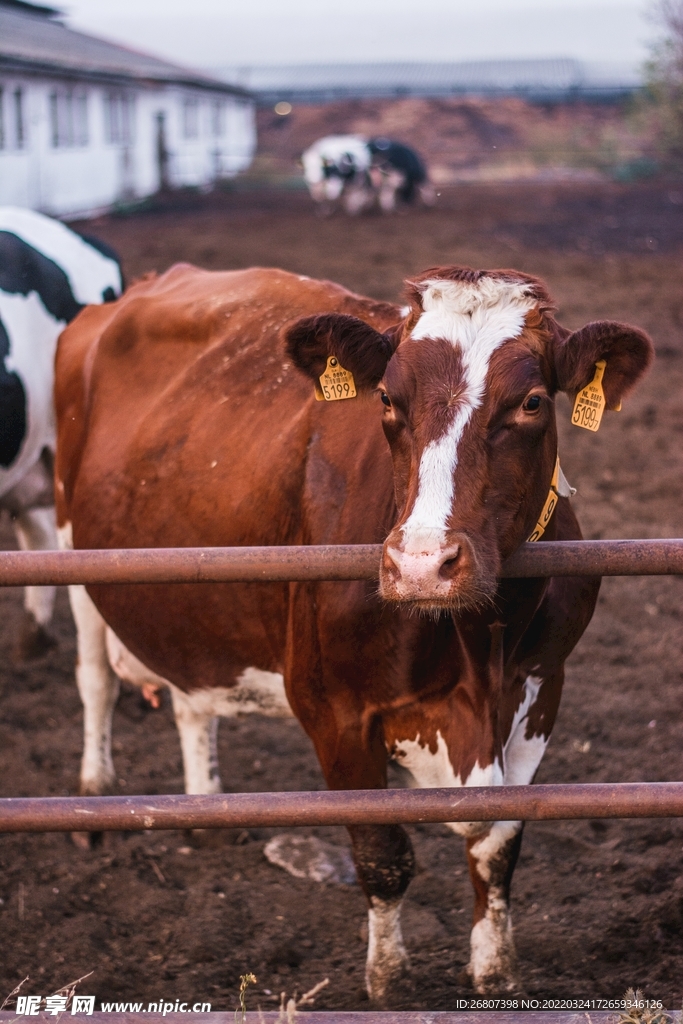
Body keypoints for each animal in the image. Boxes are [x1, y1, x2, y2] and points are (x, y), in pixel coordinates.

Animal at [53, 264, 651, 999]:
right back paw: (93, 800)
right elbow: (382, 854)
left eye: (532, 402)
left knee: (192, 698)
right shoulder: (333, 709)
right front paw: (388, 983)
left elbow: (497, 844)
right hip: (73, 548)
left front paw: (494, 974)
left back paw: (207, 807)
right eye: (388, 400)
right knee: (94, 679)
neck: (476, 649)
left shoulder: (540, 689)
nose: (421, 565)